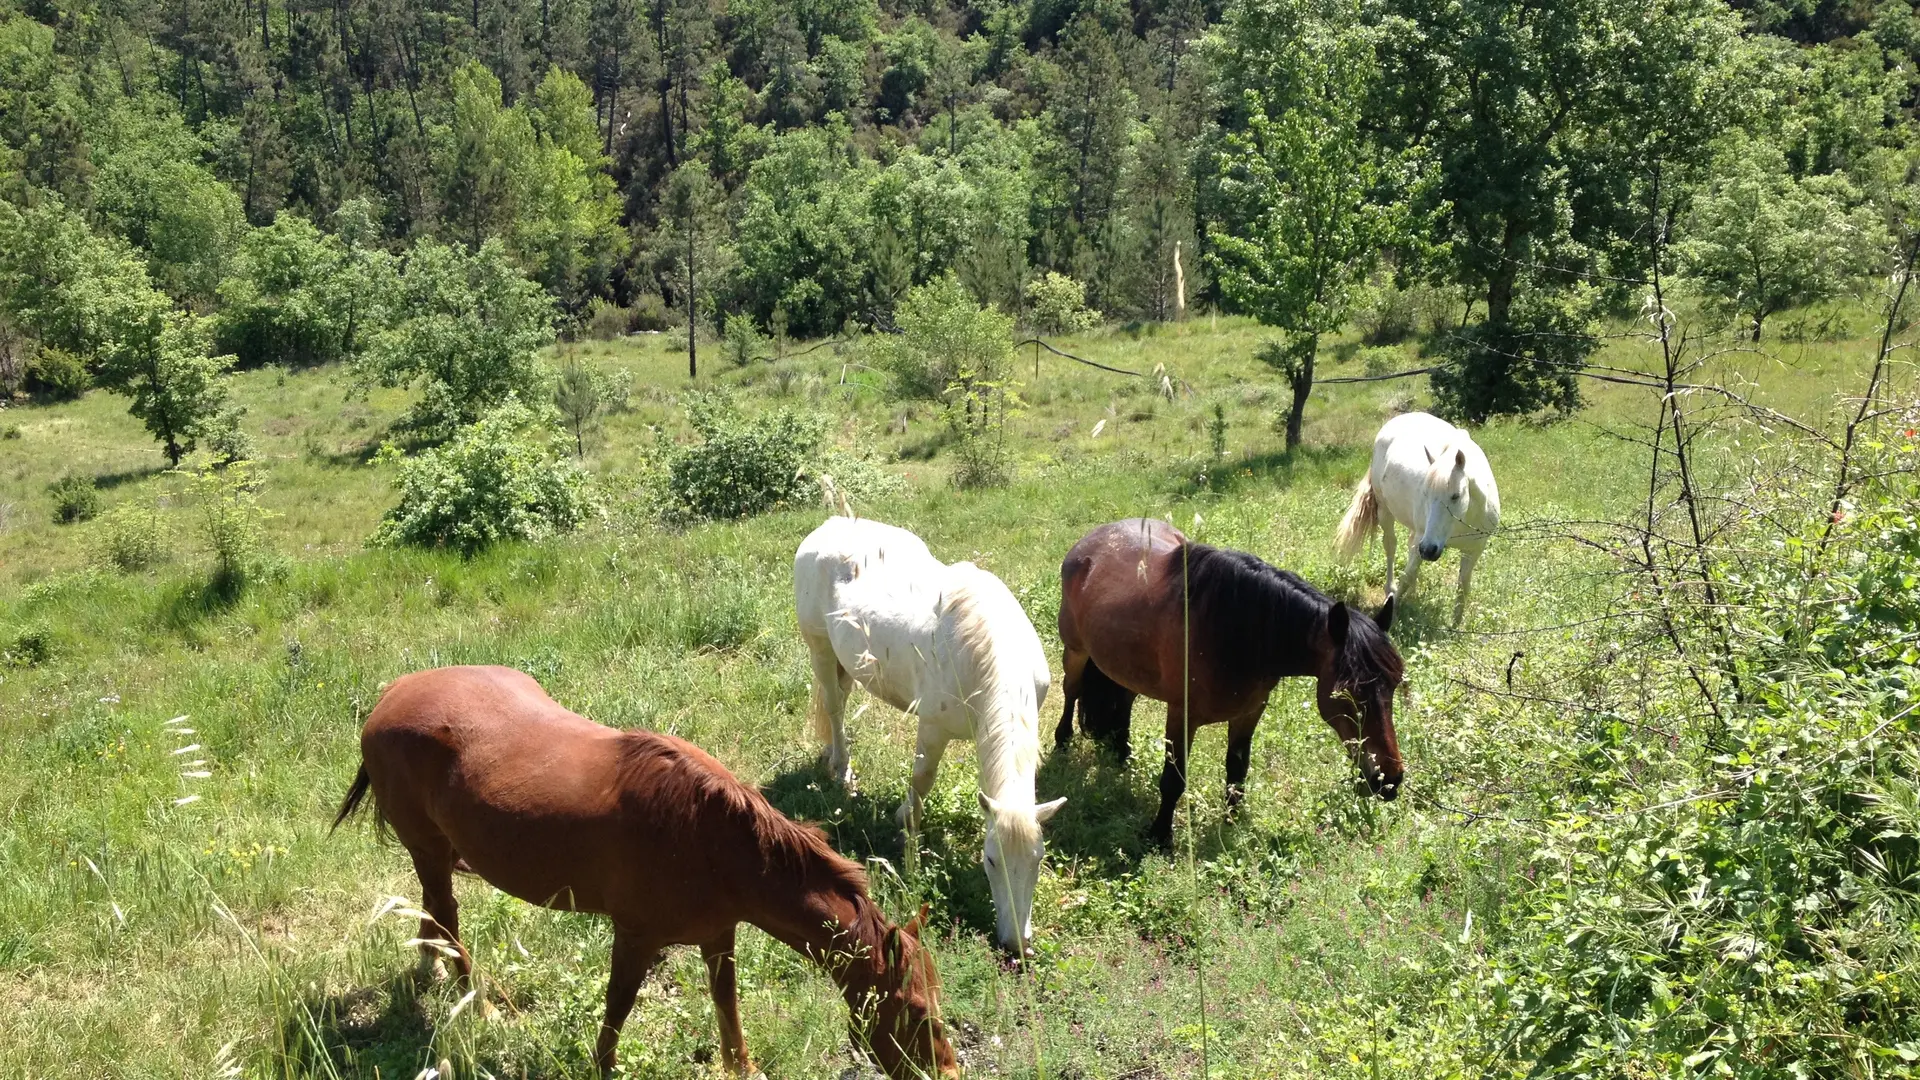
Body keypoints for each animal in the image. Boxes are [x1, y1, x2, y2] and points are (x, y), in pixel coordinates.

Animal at [337, 661, 960, 1068]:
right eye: (918, 1014)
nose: (949, 1071)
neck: (715, 841)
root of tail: (390, 699)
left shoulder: (719, 936)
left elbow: (729, 1016)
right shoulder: (635, 938)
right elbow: (615, 1016)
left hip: (436, 852)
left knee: (433, 910)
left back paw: (433, 969)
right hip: (428, 849)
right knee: (447, 915)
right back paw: (481, 1004)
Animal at [794, 511, 1067, 949]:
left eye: (1038, 858)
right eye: (991, 859)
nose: (1015, 943)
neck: (986, 652)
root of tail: (832, 524)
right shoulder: (933, 728)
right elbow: (922, 780)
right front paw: (908, 837)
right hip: (819, 647)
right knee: (835, 709)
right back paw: (843, 771)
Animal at [1059, 518, 1405, 845]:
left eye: (1395, 683)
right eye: (1347, 693)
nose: (1389, 780)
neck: (1231, 633)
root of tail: (1092, 540)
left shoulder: (1249, 713)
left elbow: (1237, 771)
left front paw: (1231, 822)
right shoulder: (1182, 715)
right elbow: (1173, 779)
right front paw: (1159, 835)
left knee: (1124, 699)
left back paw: (1122, 755)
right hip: (1075, 652)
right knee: (1071, 691)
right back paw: (1062, 743)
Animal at [1336, 409, 1497, 626]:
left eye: (1455, 496)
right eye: (1426, 493)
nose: (1429, 550)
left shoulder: (1474, 550)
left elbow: (1463, 587)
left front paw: (1455, 626)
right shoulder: (1424, 537)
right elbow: (1407, 574)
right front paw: (1391, 608)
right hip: (1385, 511)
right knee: (1391, 545)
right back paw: (1391, 588)